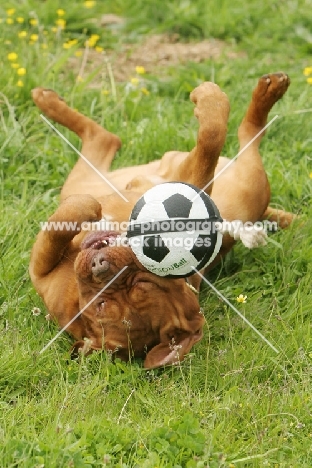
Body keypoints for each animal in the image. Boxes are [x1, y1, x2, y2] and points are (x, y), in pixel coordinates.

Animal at [29, 71, 294, 368]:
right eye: (100, 305)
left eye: (141, 282)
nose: (100, 265)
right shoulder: (40, 273)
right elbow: (211, 138)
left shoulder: (40, 268)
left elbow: (211, 137)